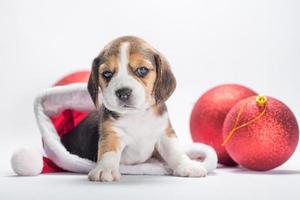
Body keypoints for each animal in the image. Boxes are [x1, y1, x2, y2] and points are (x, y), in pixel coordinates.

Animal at [60, 36, 206, 181]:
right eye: (107, 74)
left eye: (142, 70)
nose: (123, 93)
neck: (136, 115)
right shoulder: (111, 132)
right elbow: (108, 151)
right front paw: (105, 169)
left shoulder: (164, 132)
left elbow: (175, 150)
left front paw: (187, 165)